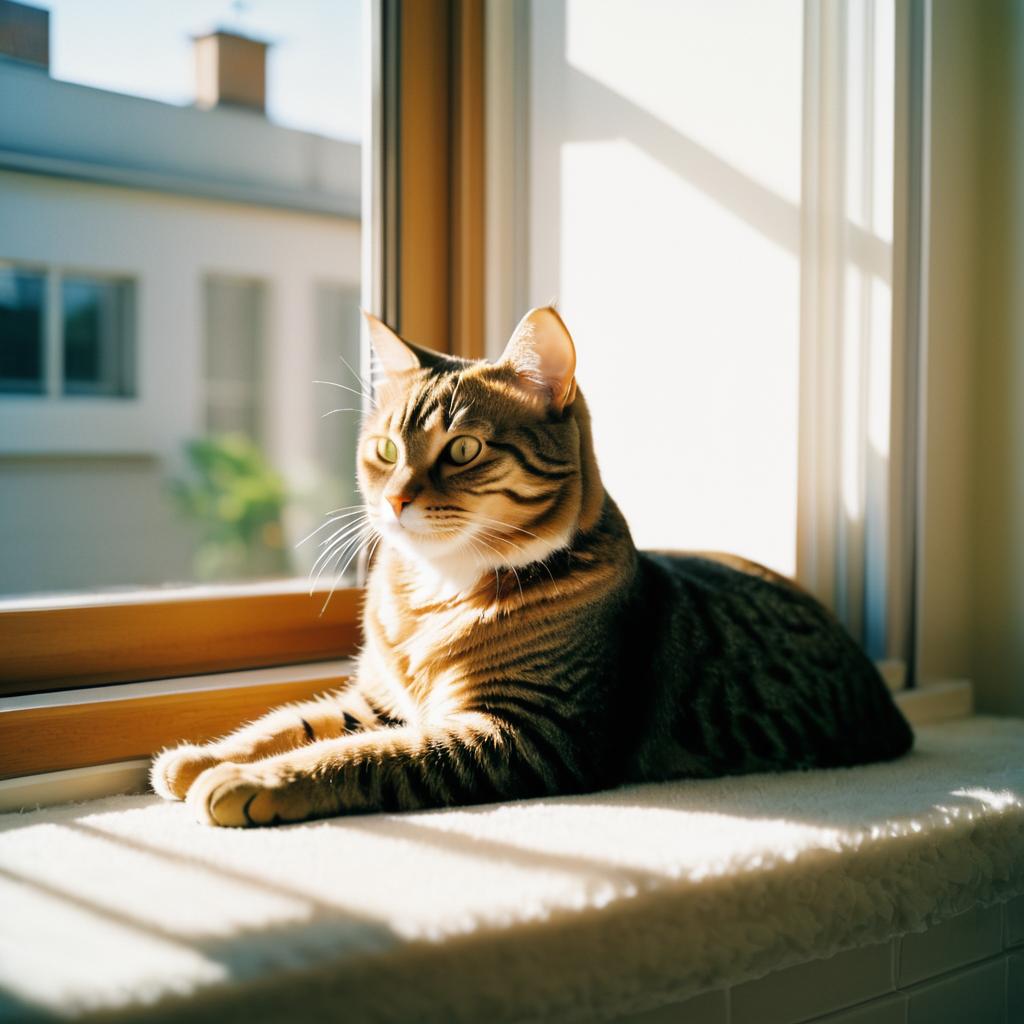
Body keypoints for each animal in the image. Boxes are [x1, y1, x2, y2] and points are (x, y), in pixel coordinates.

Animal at [149, 307, 913, 827]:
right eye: (386, 451)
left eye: (462, 449)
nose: (395, 500)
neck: (436, 591)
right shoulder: (381, 700)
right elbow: (290, 723)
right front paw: (201, 757)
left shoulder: (527, 733)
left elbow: (363, 758)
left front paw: (249, 783)